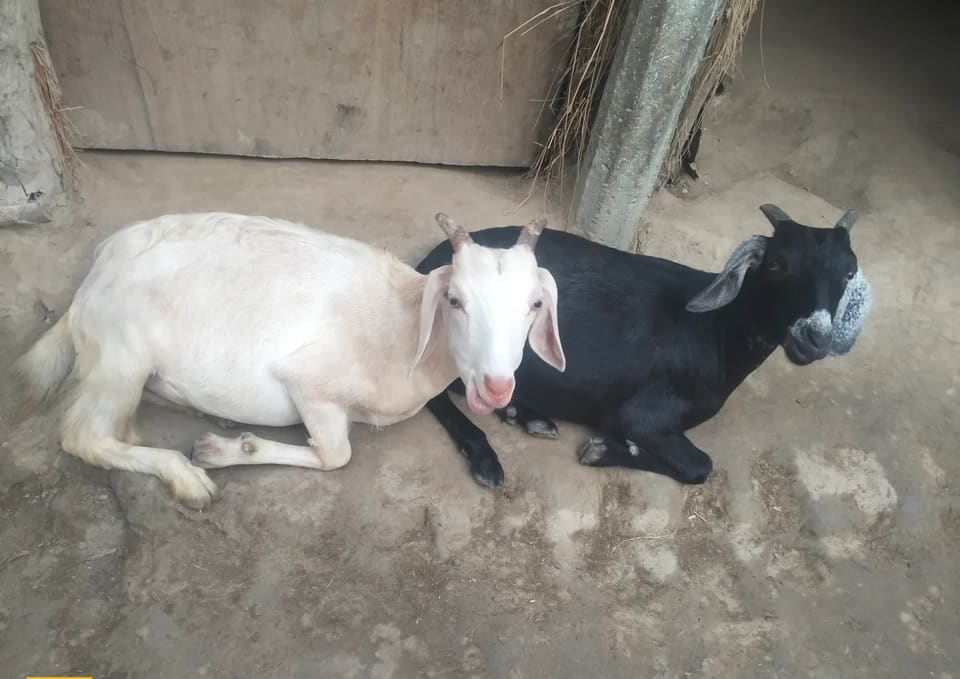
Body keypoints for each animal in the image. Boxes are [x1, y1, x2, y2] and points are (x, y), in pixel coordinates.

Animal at [14, 212, 566, 508]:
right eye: (455, 300)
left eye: (535, 304)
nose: (496, 387)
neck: (401, 328)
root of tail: (87, 287)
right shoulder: (308, 381)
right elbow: (337, 454)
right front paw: (231, 450)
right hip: (121, 356)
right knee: (85, 436)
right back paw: (187, 476)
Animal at [415, 204, 872, 487]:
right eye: (776, 264)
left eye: (849, 273)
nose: (813, 338)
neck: (716, 332)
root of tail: (427, 266)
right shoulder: (640, 414)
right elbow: (701, 465)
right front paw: (601, 449)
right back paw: (486, 456)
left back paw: (527, 416)